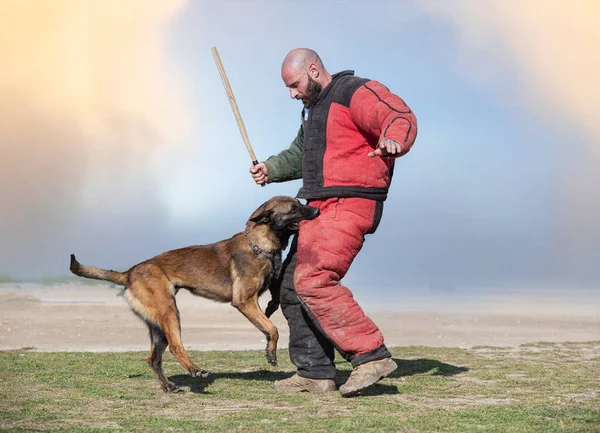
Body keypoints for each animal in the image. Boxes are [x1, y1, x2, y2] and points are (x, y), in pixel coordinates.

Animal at [69, 196, 318, 392]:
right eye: (294, 208)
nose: (316, 210)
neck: (260, 244)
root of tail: (129, 272)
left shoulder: (260, 300)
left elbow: (269, 317)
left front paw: (268, 345)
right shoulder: (244, 301)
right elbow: (273, 328)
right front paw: (271, 354)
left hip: (158, 325)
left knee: (153, 358)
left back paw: (169, 386)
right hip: (170, 312)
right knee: (175, 346)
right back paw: (195, 371)